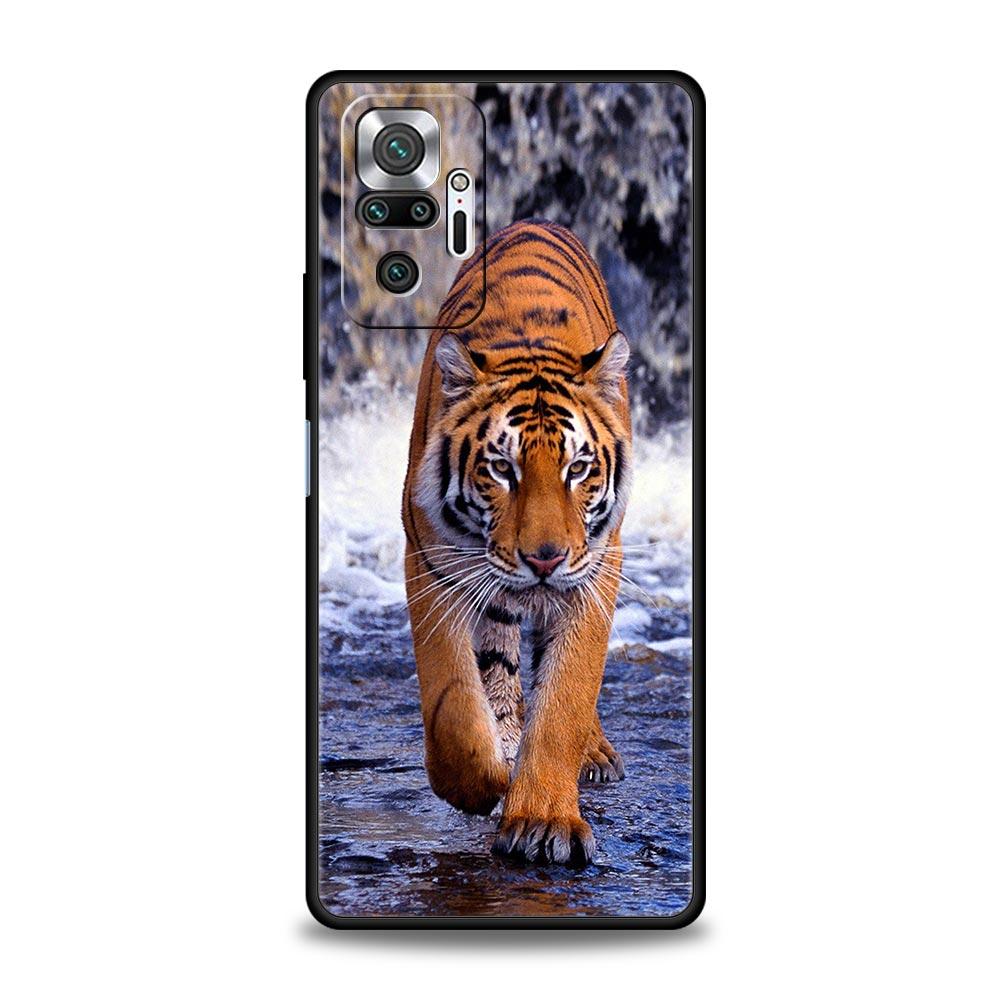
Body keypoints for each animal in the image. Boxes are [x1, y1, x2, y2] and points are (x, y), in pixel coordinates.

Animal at [401, 219, 632, 866]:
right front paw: (481, 784)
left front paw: (543, 821)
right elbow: (454, 701)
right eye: (502, 469)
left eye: (578, 469)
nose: (544, 559)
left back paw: (593, 754)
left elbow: (566, 697)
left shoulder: (595, 569)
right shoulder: (432, 563)